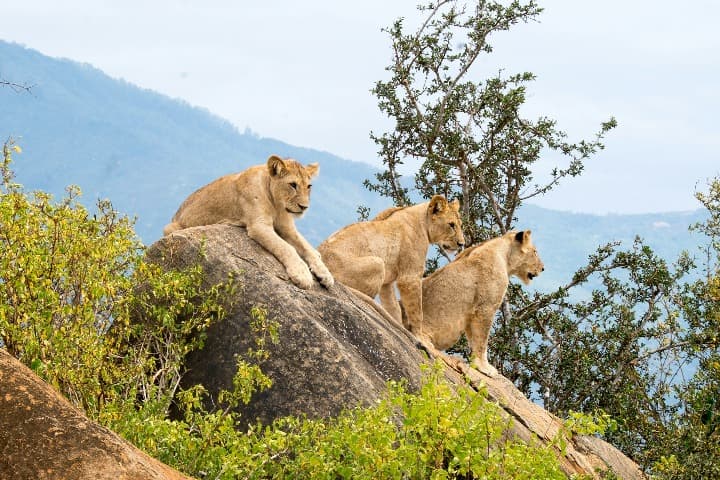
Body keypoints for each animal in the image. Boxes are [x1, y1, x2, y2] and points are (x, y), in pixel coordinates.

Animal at [163, 154, 334, 290]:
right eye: (293, 185)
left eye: (309, 186)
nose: (304, 207)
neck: (277, 204)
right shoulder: (259, 226)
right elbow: (286, 248)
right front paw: (302, 274)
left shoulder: (287, 227)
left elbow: (306, 247)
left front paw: (325, 274)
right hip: (170, 228)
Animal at [318, 195, 465, 338]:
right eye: (451, 225)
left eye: (460, 225)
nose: (462, 244)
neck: (423, 221)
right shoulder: (409, 278)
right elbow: (417, 311)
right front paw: (419, 336)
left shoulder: (386, 283)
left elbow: (393, 307)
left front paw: (400, 328)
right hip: (378, 263)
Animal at [420, 230, 544, 376]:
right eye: (535, 251)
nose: (543, 268)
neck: (505, 257)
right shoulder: (485, 308)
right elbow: (482, 341)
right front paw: (485, 368)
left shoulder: (471, 313)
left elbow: (473, 340)